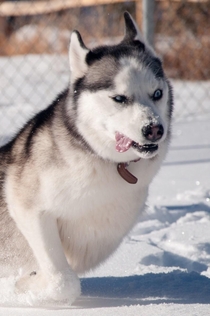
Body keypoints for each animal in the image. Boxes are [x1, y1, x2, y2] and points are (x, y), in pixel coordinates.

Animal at [0, 12, 172, 306]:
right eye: (119, 98)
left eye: (157, 94)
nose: (154, 129)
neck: (103, 160)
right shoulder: (28, 209)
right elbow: (63, 282)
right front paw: (20, 288)